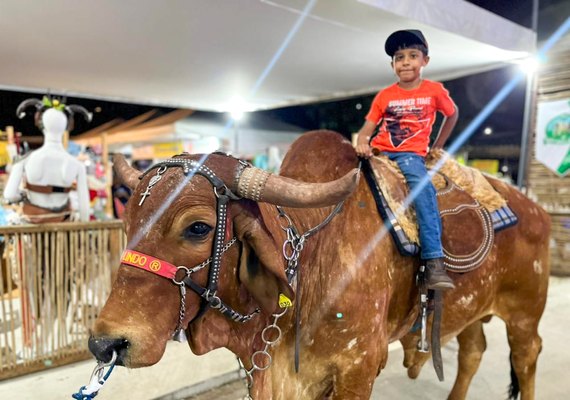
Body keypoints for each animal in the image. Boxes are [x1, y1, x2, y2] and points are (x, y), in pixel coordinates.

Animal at [91, 131, 548, 400]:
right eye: (128, 223)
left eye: (198, 227)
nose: (105, 344)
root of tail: (535, 207)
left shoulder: (358, 367)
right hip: (470, 310)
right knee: (473, 351)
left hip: (524, 313)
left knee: (527, 357)